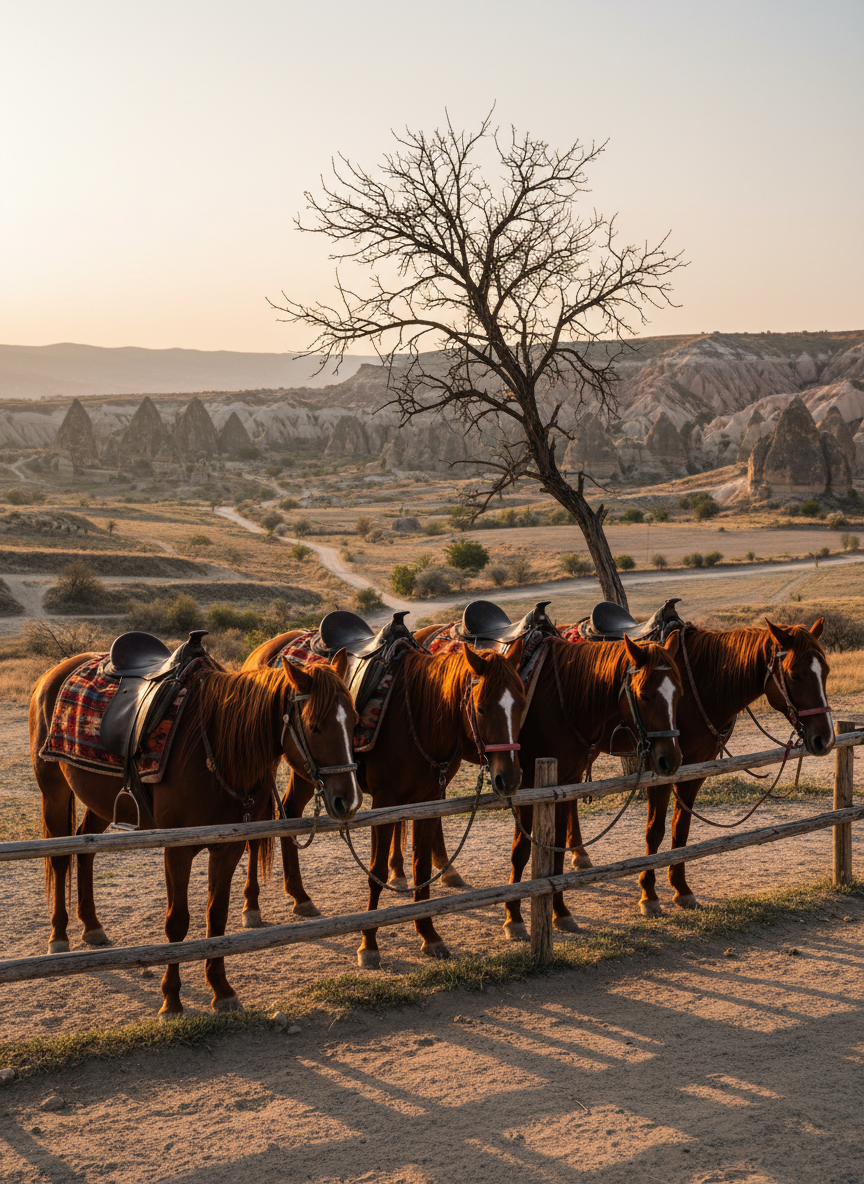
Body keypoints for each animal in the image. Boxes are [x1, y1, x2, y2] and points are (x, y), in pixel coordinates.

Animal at [30, 651, 361, 1017]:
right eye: (315, 726)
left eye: (354, 721)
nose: (347, 800)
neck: (216, 748)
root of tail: (53, 673)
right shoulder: (177, 849)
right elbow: (177, 921)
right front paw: (172, 999)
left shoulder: (228, 847)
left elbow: (216, 916)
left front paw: (222, 989)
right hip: (54, 792)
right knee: (59, 858)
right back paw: (59, 936)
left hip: (100, 804)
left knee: (85, 848)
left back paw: (92, 925)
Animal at [241, 633, 526, 967]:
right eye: (480, 708)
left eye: (521, 705)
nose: (510, 778)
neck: (416, 716)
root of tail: (264, 650)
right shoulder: (384, 802)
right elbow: (376, 873)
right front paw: (369, 944)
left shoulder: (429, 801)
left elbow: (422, 868)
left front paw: (429, 935)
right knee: (256, 831)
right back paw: (251, 906)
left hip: (306, 771)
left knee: (291, 812)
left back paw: (300, 896)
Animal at [410, 627, 685, 939]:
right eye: (645, 696)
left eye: (679, 693)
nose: (671, 759)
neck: (563, 703)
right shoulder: (527, 786)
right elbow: (521, 852)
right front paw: (514, 917)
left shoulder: (565, 785)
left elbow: (556, 854)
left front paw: (561, 912)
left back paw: (441, 870)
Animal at [559, 616, 834, 915]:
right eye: (795, 675)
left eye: (826, 671)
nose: (824, 739)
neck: (698, 687)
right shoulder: (660, 767)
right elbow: (655, 830)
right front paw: (649, 894)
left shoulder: (695, 767)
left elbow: (681, 828)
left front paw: (681, 889)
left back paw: (579, 853)